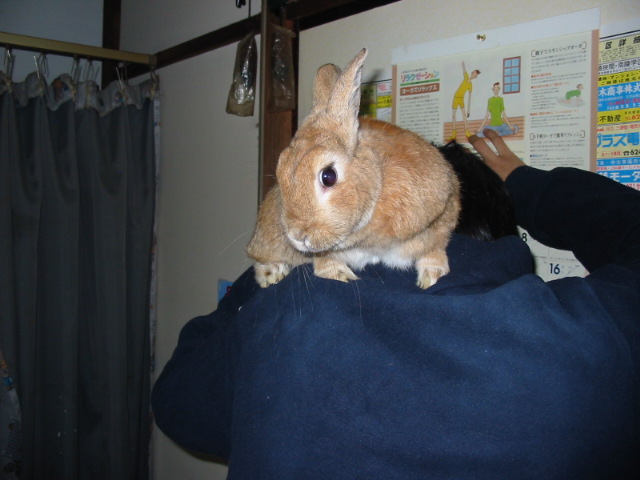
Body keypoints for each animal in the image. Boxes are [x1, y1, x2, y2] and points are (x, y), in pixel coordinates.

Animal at [247, 48, 460, 289]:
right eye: (279, 171)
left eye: (328, 176)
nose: (297, 236)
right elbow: (324, 261)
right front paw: (339, 275)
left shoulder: (442, 215)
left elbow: (434, 249)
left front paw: (433, 277)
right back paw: (271, 274)